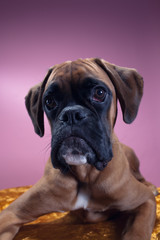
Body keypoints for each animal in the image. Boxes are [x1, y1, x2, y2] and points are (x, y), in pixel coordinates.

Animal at [0, 58, 158, 240]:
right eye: (49, 101)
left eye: (99, 93)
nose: (71, 114)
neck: (85, 174)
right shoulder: (12, 213)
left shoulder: (145, 201)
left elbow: (137, 232)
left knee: (140, 176)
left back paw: (151, 186)